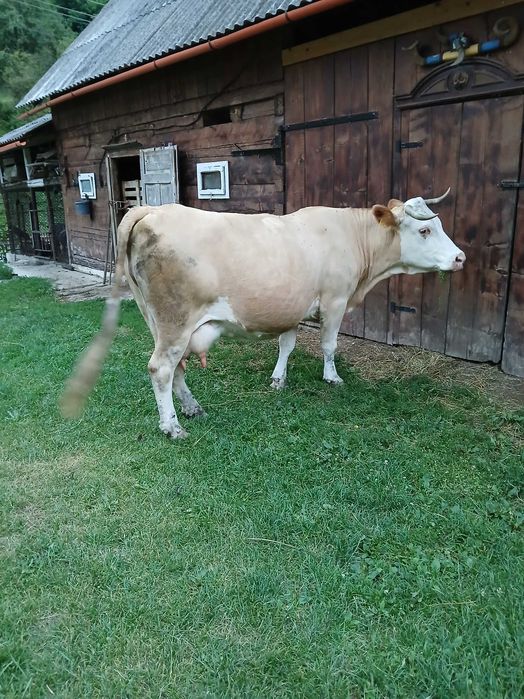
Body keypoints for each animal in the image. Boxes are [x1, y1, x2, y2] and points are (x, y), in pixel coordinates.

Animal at [61, 190, 465, 439]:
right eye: (424, 229)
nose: (460, 257)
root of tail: (153, 209)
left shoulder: (292, 306)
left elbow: (286, 345)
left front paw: (278, 380)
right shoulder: (335, 299)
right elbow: (330, 345)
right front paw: (332, 378)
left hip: (156, 321)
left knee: (175, 369)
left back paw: (191, 408)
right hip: (175, 320)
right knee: (161, 368)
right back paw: (172, 427)